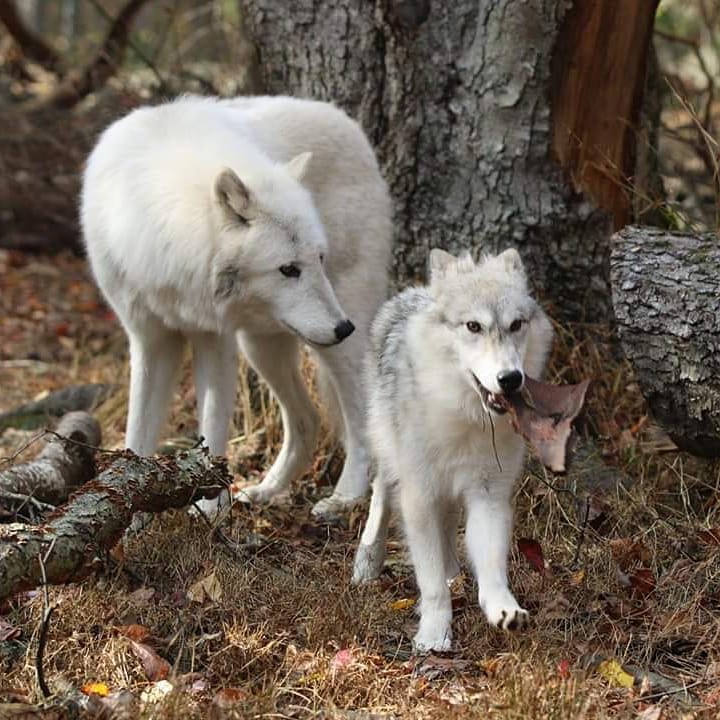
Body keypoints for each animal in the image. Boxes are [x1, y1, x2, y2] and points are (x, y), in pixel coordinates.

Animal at [81, 95, 392, 520]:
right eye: (288, 269)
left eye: (319, 259)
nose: (343, 327)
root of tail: (352, 128)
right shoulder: (150, 340)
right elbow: (137, 435)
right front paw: (132, 516)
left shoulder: (215, 339)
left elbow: (212, 432)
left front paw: (210, 512)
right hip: (262, 345)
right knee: (307, 420)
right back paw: (264, 490)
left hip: (329, 344)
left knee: (361, 422)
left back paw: (344, 497)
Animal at [352, 248, 553, 652]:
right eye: (473, 326)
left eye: (516, 325)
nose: (510, 379)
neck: (467, 418)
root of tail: (410, 293)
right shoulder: (419, 497)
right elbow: (429, 583)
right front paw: (433, 634)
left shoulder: (489, 496)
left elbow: (491, 567)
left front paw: (503, 608)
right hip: (389, 453)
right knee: (381, 494)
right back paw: (367, 563)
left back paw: (453, 574)